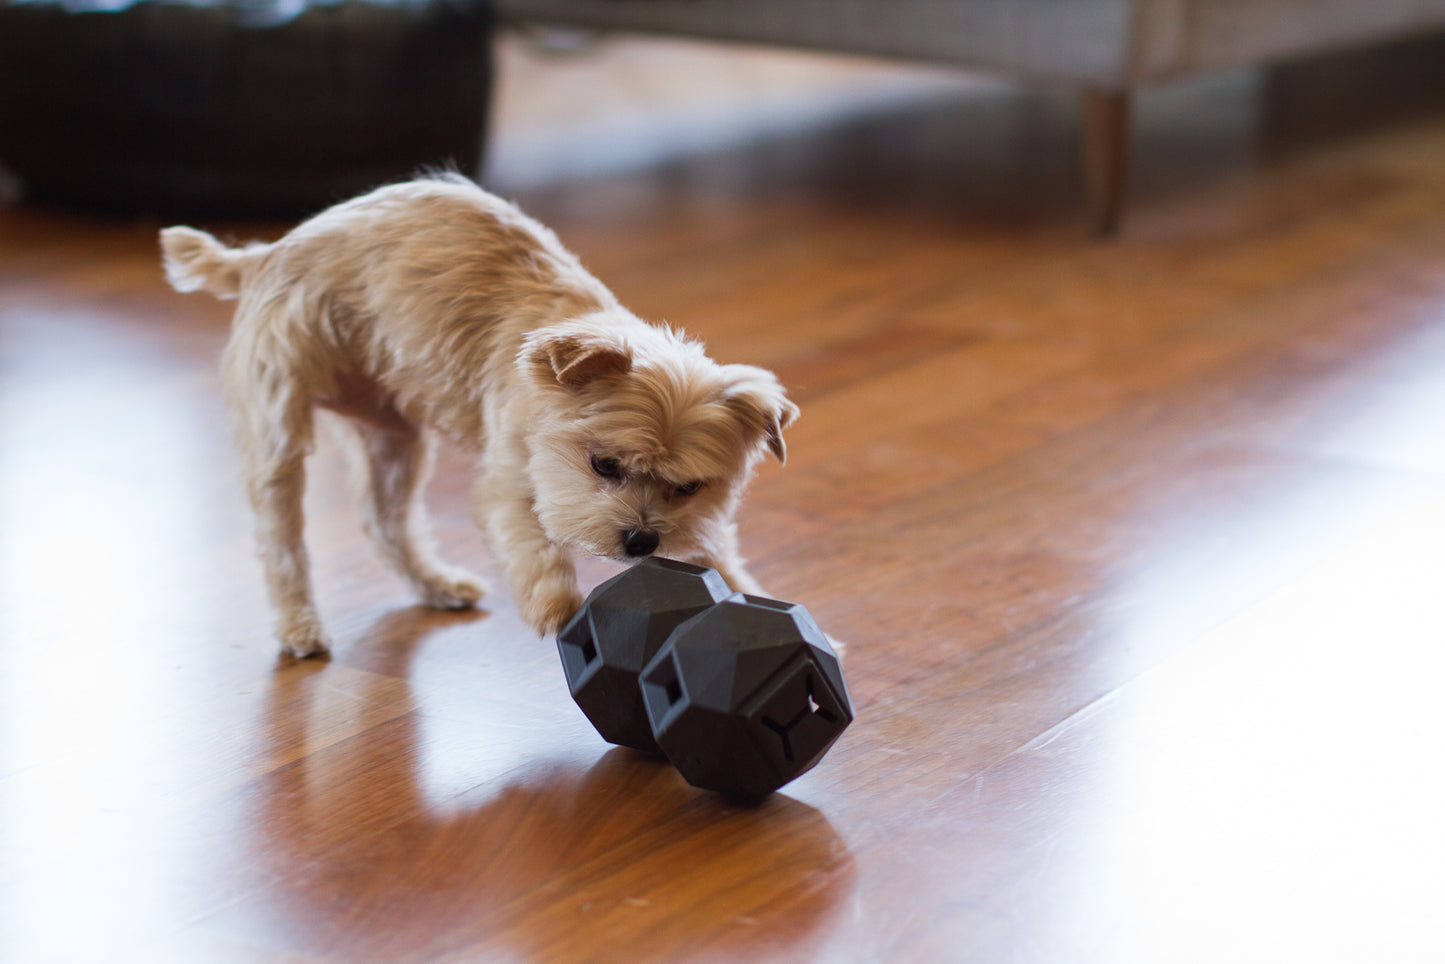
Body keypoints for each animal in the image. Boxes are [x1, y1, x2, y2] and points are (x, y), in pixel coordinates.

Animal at [162, 173, 797, 659]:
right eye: (604, 465)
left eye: (688, 487)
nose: (641, 540)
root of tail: (266, 254)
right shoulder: (509, 483)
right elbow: (531, 543)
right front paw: (556, 606)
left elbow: (716, 559)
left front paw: (752, 603)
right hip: (280, 424)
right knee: (281, 538)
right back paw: (300, 626)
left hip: (393, 437)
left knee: (385, 522)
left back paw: (434, 584)